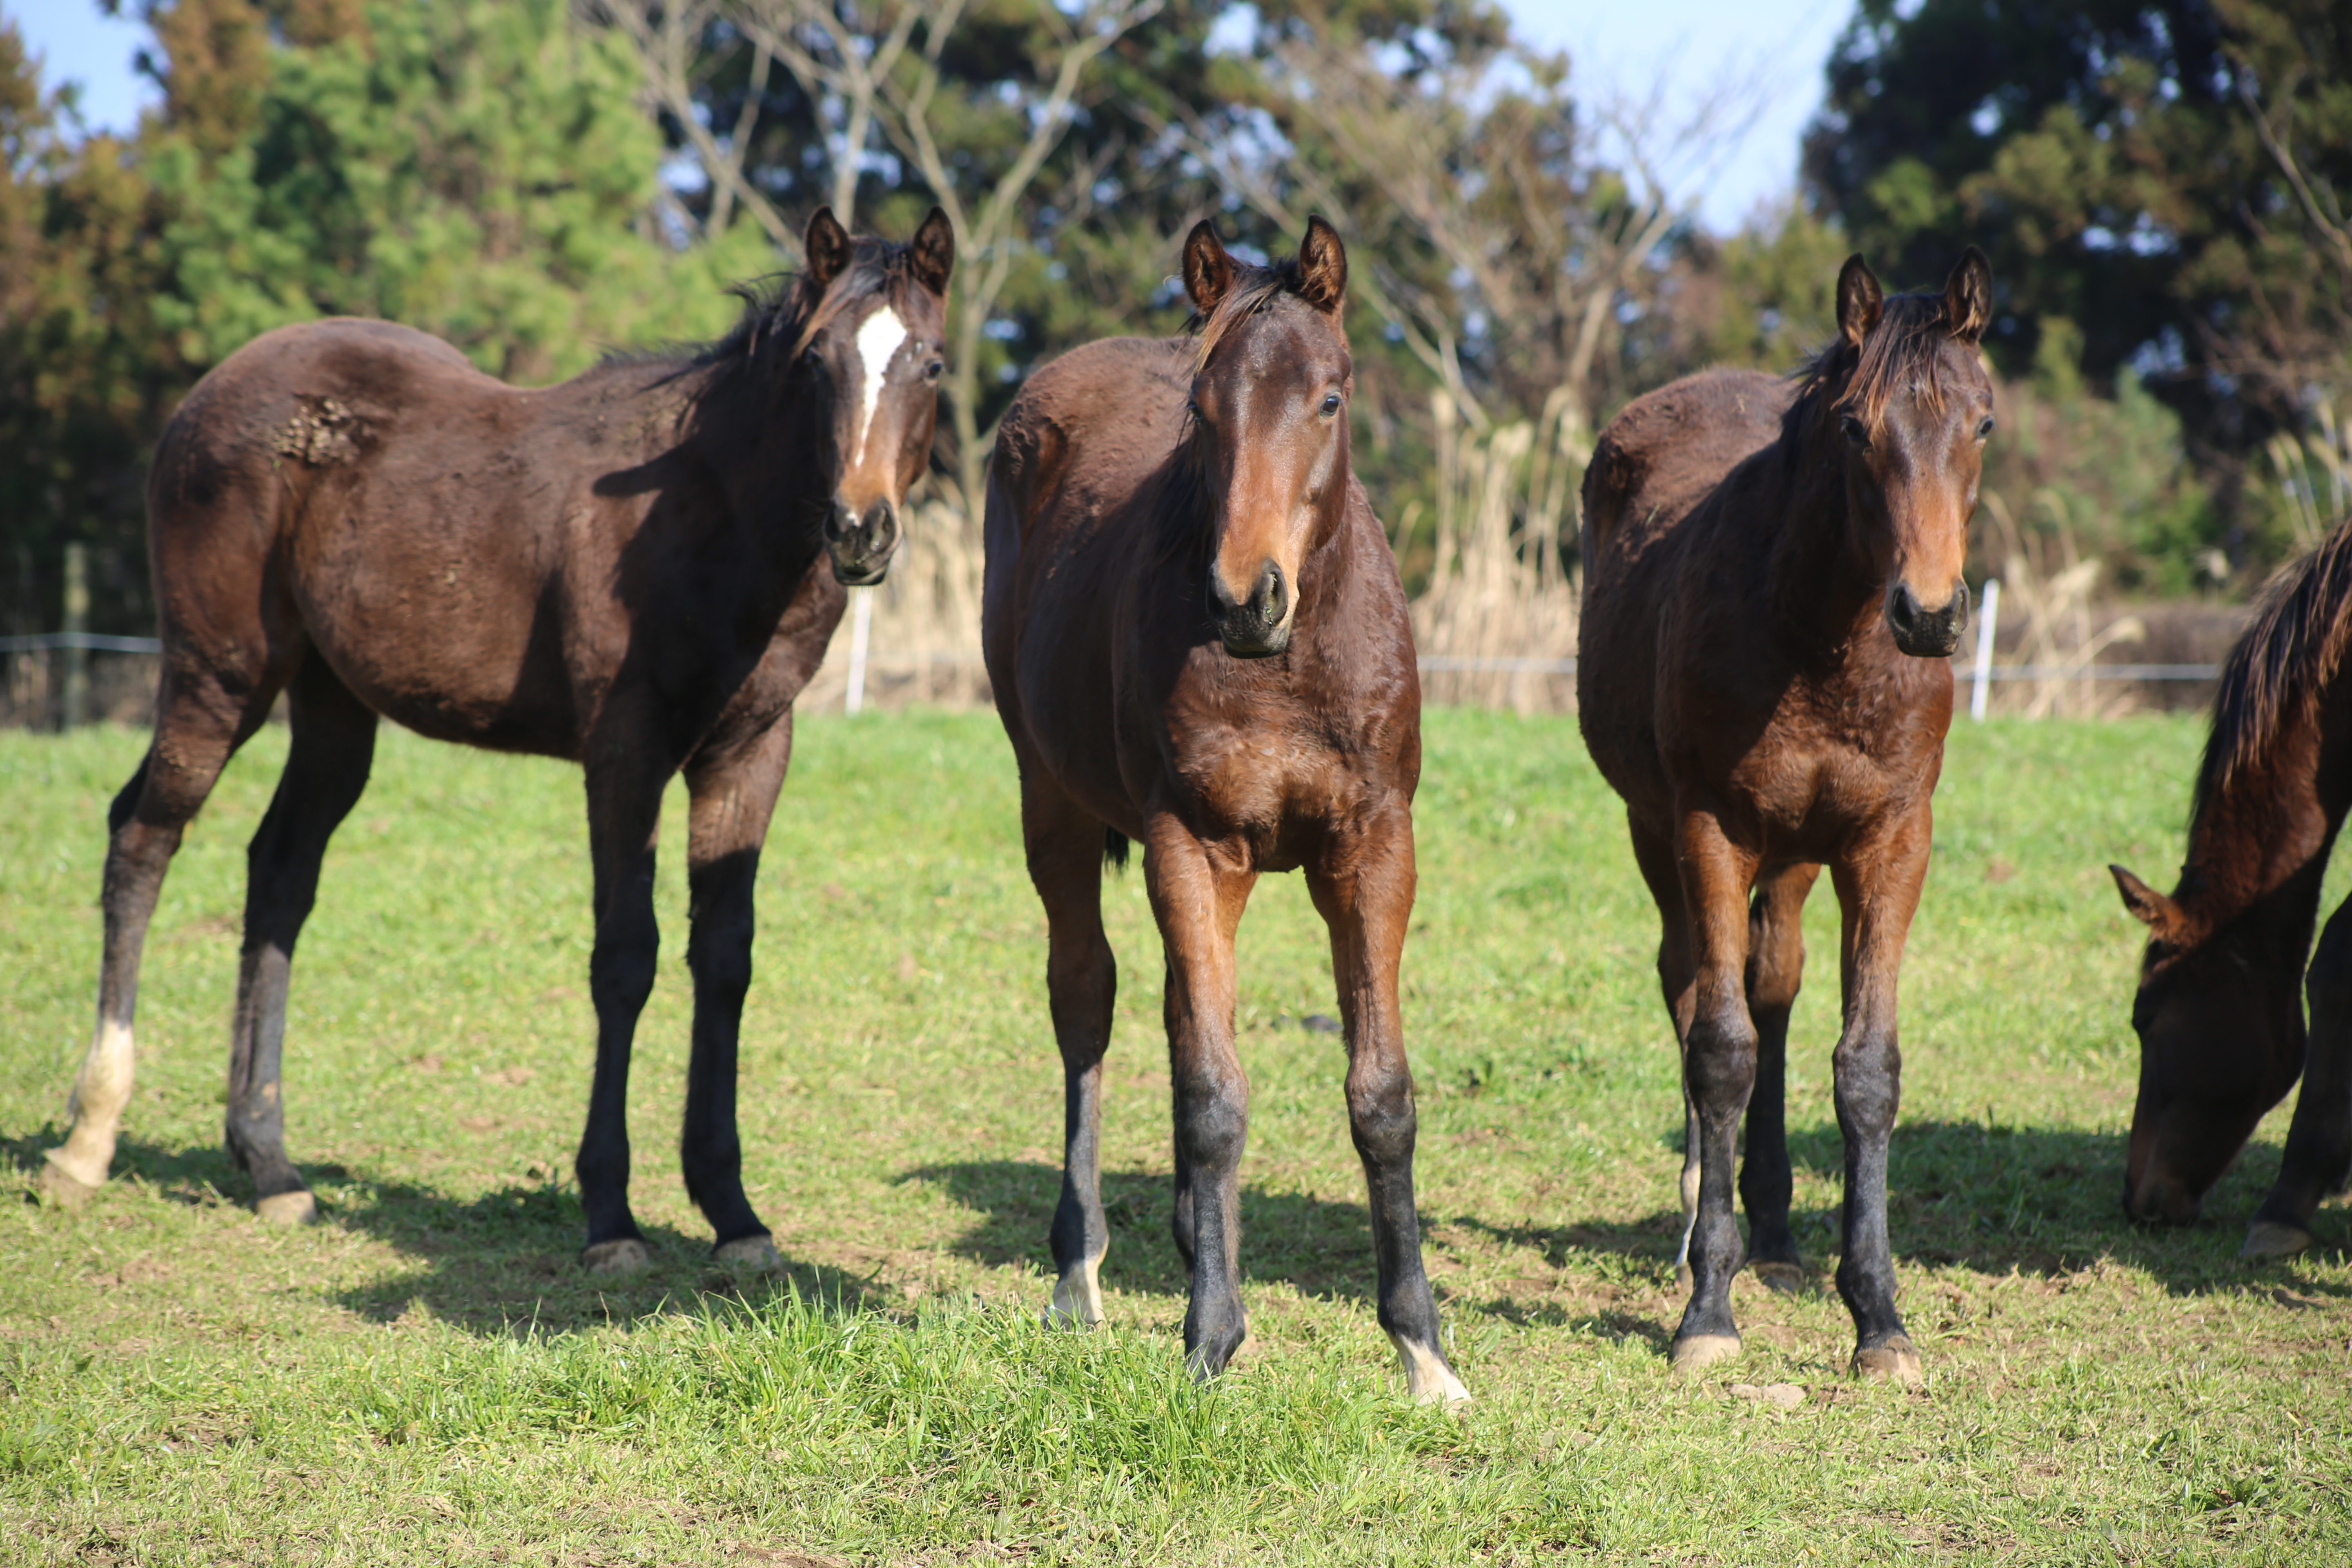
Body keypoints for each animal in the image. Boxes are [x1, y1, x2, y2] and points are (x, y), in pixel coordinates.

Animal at [41, 208, 955, 1278]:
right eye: (815, 362)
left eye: (931, 363)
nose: (859, 530)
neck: (713, 516)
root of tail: (210, 391)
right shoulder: (624, 750)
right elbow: (626, 957)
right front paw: (610, 1215)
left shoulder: (751, 750)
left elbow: (724, 959)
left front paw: (733, 1211)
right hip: (218, 671)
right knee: (143, 840)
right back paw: (87, 1142)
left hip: (332, 702)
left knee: (280, 870)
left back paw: (269, 1165)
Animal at [978, 215, 1458, 1401]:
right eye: (1201, 411)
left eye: (1328, 398)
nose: (1248, 598)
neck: (1286, 665)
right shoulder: (1187, 844)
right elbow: (1211, 1095)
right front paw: (1209, 1337)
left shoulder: (1372, 847)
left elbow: (1378, 1094)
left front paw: (1423, 1349)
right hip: (1052, 804)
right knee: (1087, 1002)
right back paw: (1081, 1272)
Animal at [1580, 252, 2004, 1382]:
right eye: (1856, 428)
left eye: (1982, 422)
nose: (1929, 614)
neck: (1820, 641)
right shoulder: (1709, 829)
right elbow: (1719, 1050)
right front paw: (1705, 1310)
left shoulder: (1888, 841)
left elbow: (1864, 1068)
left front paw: (1879, 1317)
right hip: (1656, 831)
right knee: (1693, 988)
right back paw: (1703, 1215)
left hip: (1797, 856)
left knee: (1772, 985)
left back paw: (1770, 1230)